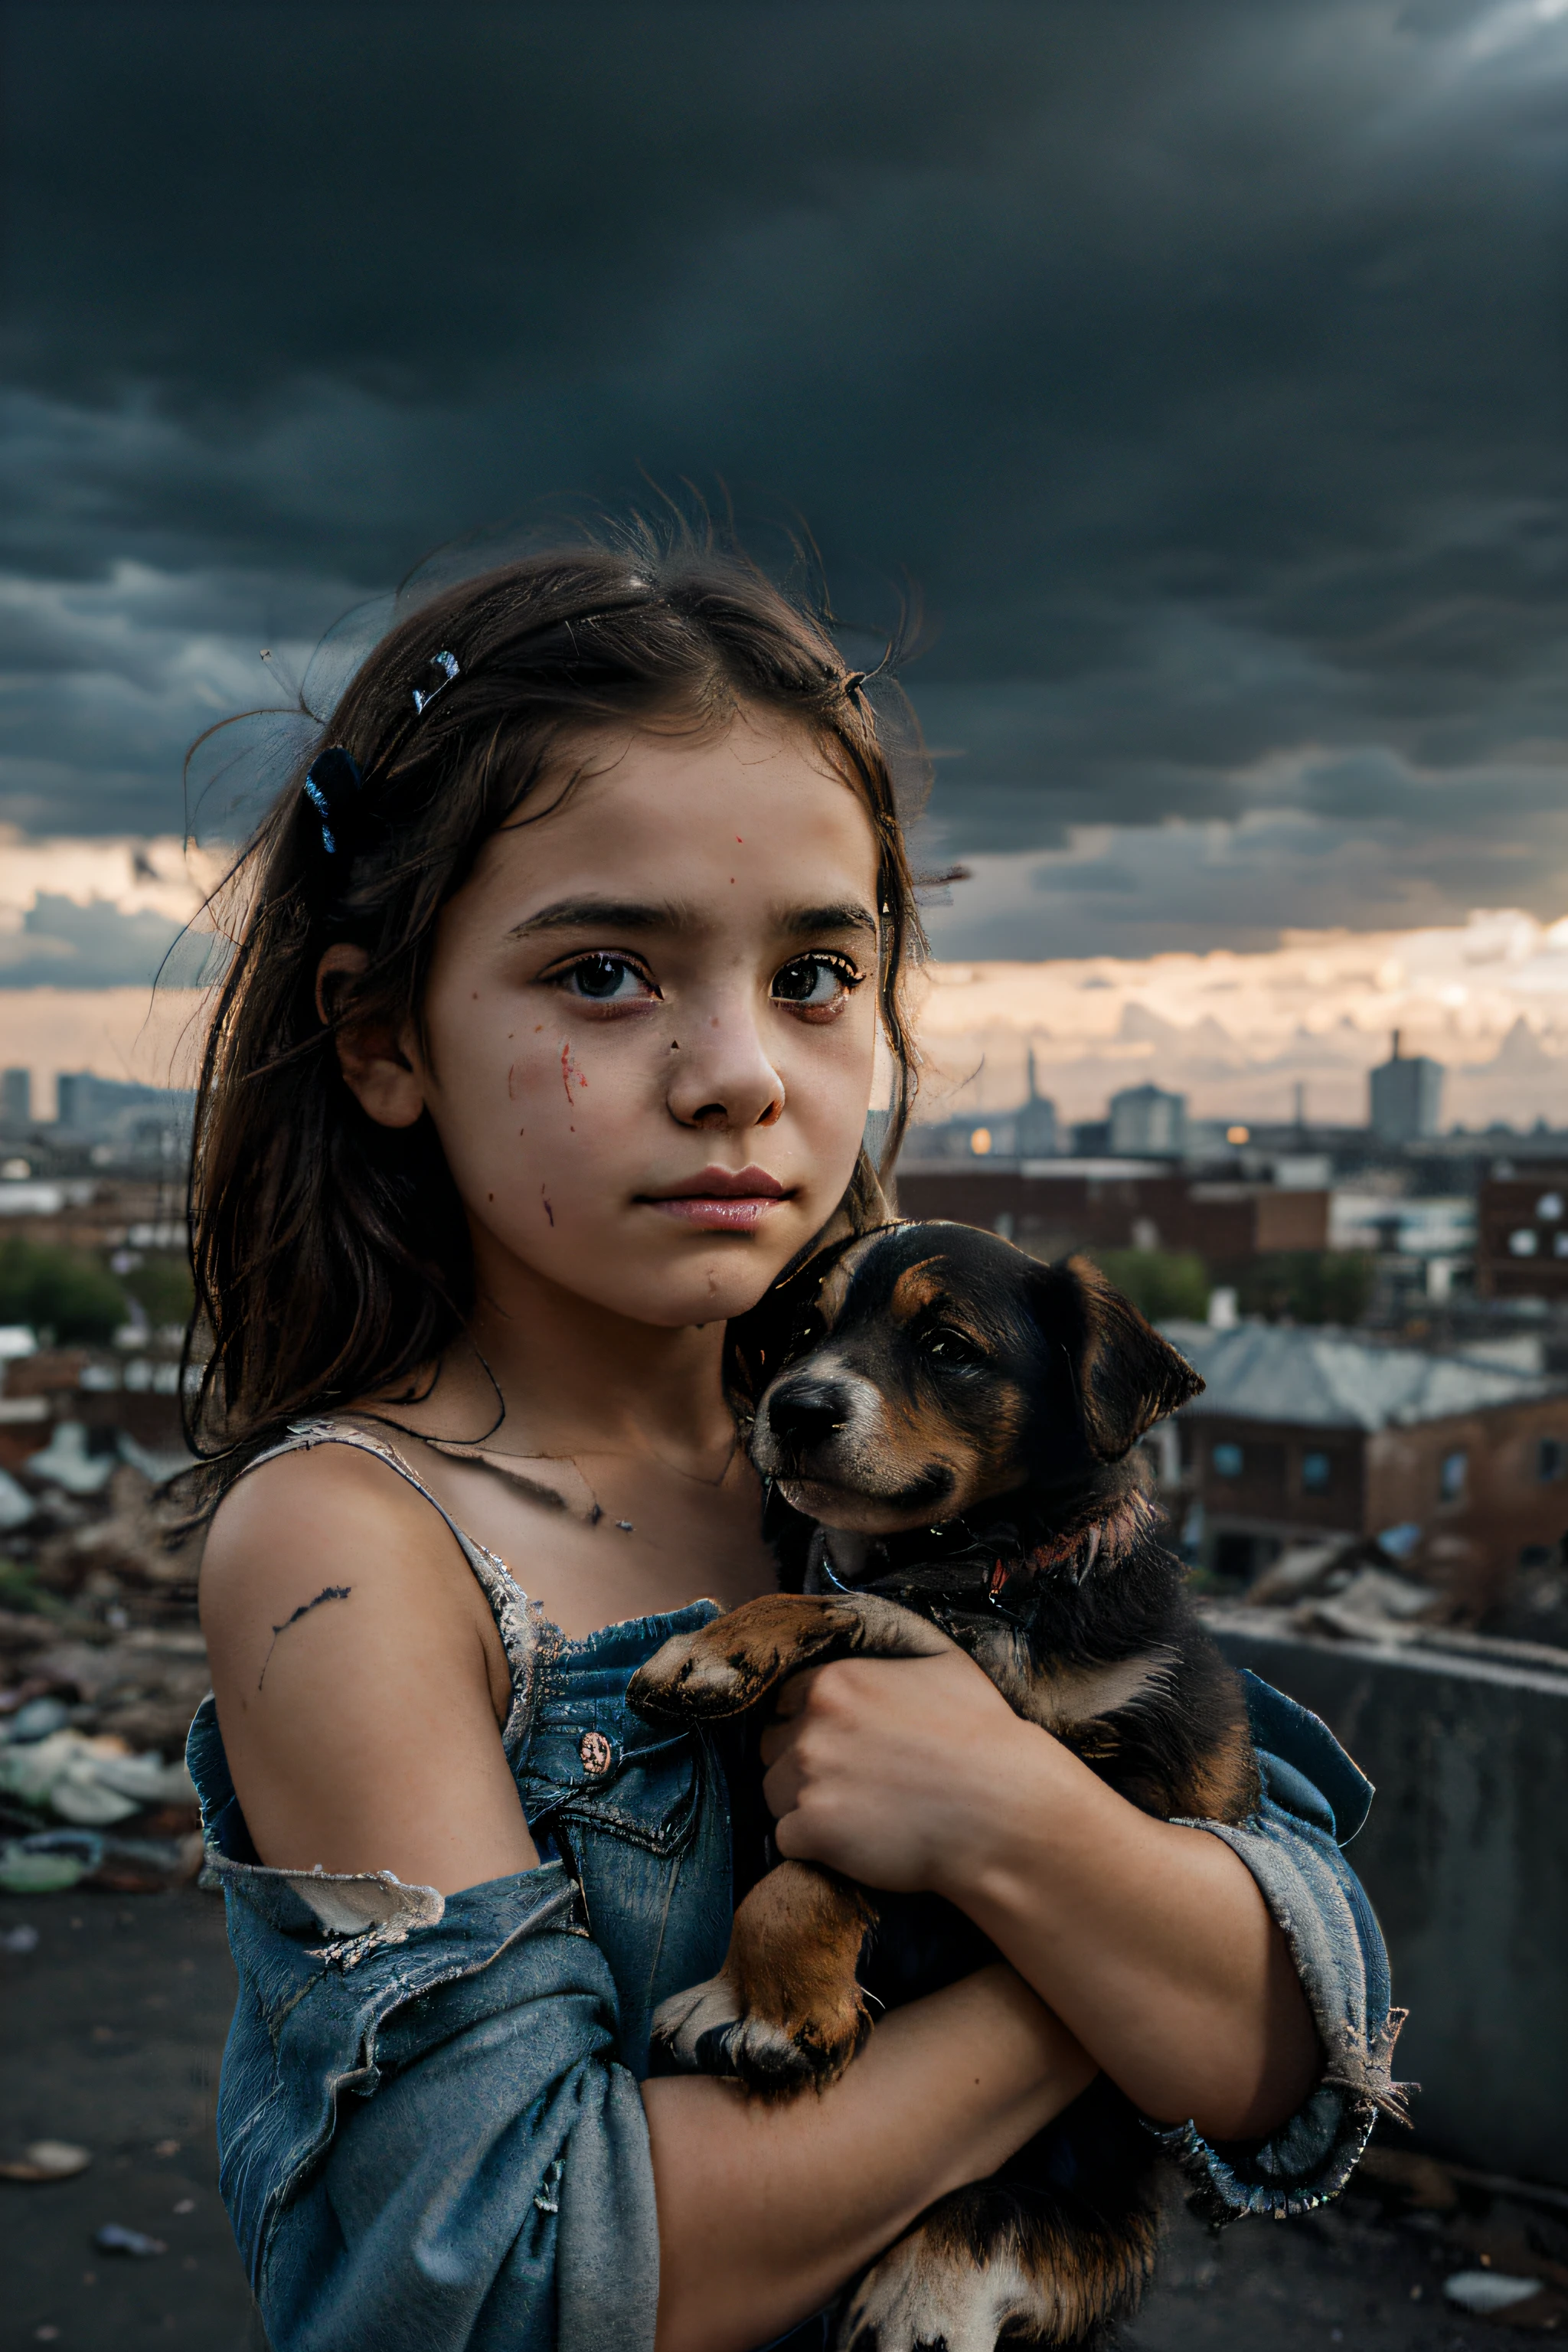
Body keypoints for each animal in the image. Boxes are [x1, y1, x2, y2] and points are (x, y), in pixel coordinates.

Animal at [629, 1232, 1259, 2352]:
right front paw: (720, 1645)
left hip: (1099, 2160)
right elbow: (842, 1602)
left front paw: (764, 2011)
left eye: (946, 1345)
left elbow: (818, 1865)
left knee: (1046, 2227)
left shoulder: (1127, 1792)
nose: (793, 1408)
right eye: (804, 1329)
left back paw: (928, 2284)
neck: (991, 1580)